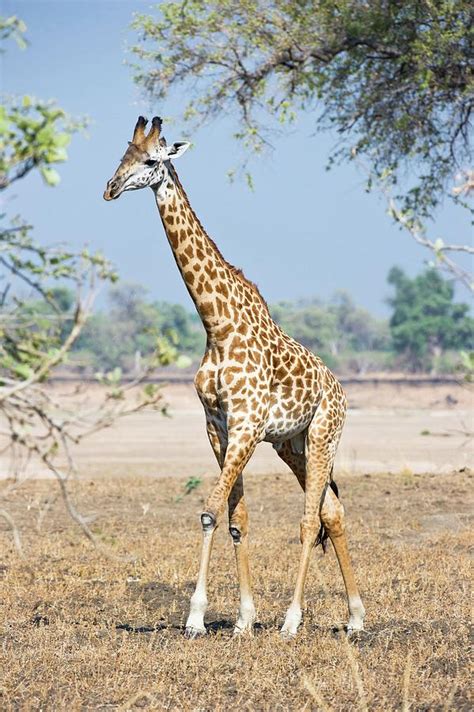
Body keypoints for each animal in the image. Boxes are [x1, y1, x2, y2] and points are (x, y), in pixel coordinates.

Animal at [104, 117, 366, 640]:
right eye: (122, 155)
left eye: (151, 160)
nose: (111, 188)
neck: (217, 324)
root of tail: (340, 389)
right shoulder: (219, 427)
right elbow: (236, 517)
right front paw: (244, 619)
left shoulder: (246, 426)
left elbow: (208, 510)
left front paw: (196, 618)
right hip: (292, 444)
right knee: (331, 511)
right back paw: (354, 617)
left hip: (324, 434)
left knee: (309, 519)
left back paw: (292, 620)